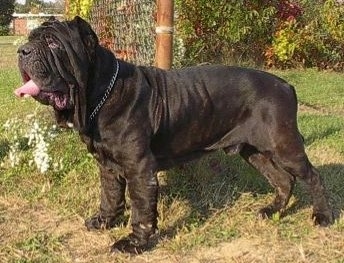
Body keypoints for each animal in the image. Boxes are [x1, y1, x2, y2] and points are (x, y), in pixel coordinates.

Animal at [14, 16, 334, 254]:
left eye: (53, 43)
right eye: (31, 38)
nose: (22, 50)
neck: (100, 93)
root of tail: (286, 85)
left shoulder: (140, 169)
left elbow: (141, 209)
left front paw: (134, 244)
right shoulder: (107, 165)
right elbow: (110, 196)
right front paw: (104, 221)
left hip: (283, 146)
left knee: (312, 176)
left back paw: (324, 216)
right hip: (253, 151)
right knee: (283, 180)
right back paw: (272, 211)